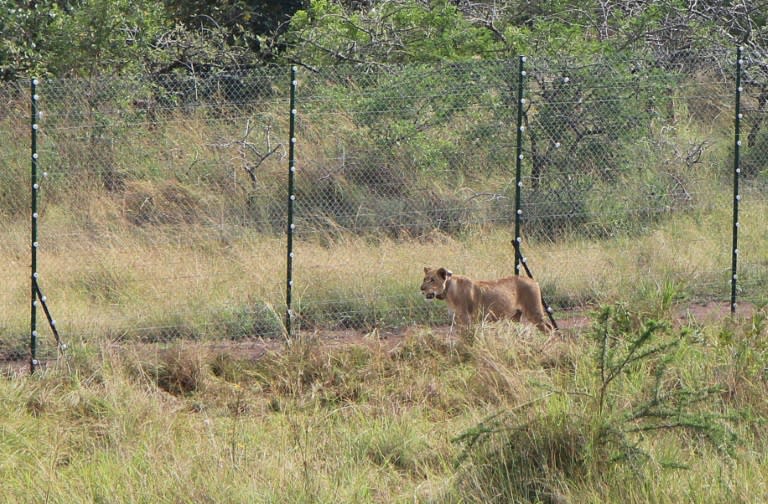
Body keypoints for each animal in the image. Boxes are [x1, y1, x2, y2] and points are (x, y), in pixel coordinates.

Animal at [420, 266, 552, 332]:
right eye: (424, 279)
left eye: (432, 280)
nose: (421, 288)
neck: (448, 290)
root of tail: (533, 280)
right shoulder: (458, 320)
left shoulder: (466, 319)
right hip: (517, 316)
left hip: (534, 312)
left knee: (549, 329)